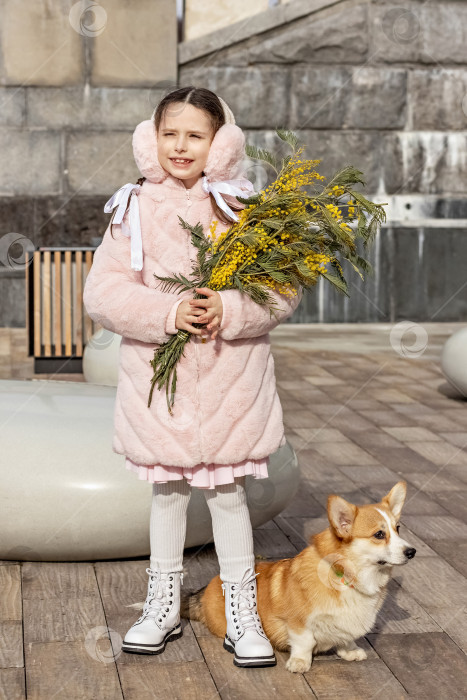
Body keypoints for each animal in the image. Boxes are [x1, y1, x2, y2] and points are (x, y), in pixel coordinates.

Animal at [182, 482, 416, 672]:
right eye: (379, 534)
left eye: (398, 528)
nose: (412, 551)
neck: (344, 575)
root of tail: (207, 588)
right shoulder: (298, 622)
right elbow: (305, 642)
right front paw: (300, 663)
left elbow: (346, 638)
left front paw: (349, 651)